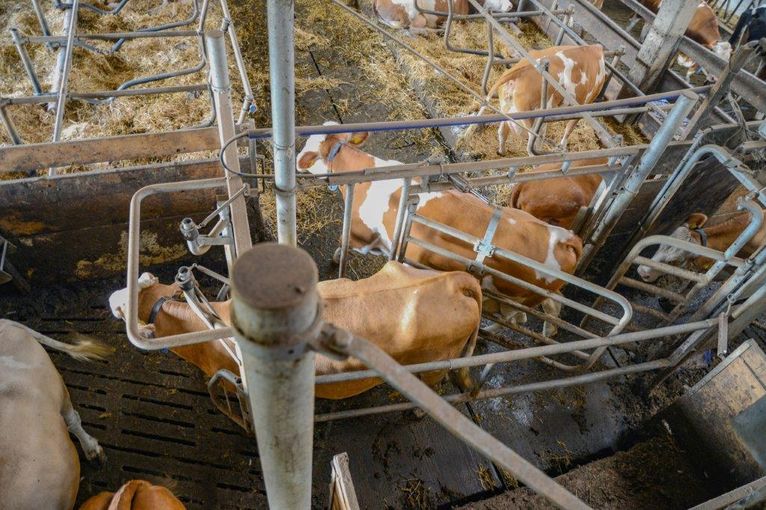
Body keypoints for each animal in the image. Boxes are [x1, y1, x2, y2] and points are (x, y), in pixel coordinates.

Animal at [296, 127, 584, 336]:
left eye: (309, 150)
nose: (297, 162)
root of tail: (567, 240)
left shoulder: (361, 233)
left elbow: (342, 244)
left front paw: (335, 262)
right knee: (544, 309)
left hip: (517, 298)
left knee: (516, 318)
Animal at [462, 43, 608, 155]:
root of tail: (523, 69)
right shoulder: (583, 106)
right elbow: (568, 129)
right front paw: (562, 147)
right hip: (531, 117)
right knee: (530, 145)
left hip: (507, 108)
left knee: (503, 131)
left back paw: (501, 151)